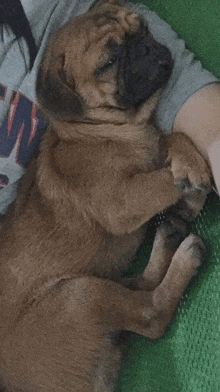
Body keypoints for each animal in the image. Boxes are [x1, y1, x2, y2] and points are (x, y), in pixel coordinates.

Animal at [0, 0, 211, 392]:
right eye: (108, 63)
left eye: (143, 29)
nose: (147, 48)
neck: (99, 130)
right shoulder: (123, 201)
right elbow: (160, 180)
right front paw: (192, 177)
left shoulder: (150, 145)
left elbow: (170, 141)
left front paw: (188, 162)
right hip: (79, 295)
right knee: (150, 313)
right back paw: (185, 257)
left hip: (100, 285)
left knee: (140, 287)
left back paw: (169, 236)